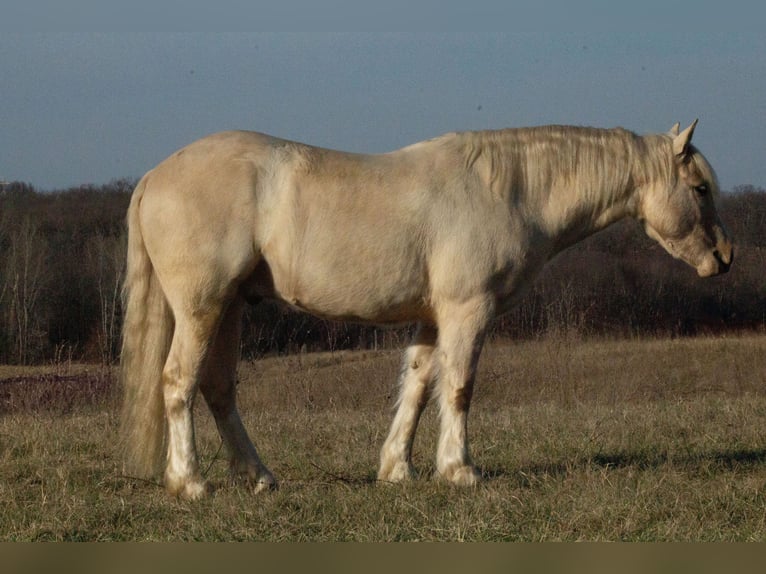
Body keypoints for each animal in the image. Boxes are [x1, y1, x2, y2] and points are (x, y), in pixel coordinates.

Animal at [118, 120, 732, 500]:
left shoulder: (433, 316)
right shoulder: (468, 310)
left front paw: (397, 470)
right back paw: (190, 482)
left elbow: (416, 386)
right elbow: (458, 387)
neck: (507, 191)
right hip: (202, 306)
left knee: (217, 387)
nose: (724, 258)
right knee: (178, 381)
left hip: (229, 308)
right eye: (700, 188)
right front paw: (460, 470)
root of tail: (154, 176)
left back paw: (259, 477)